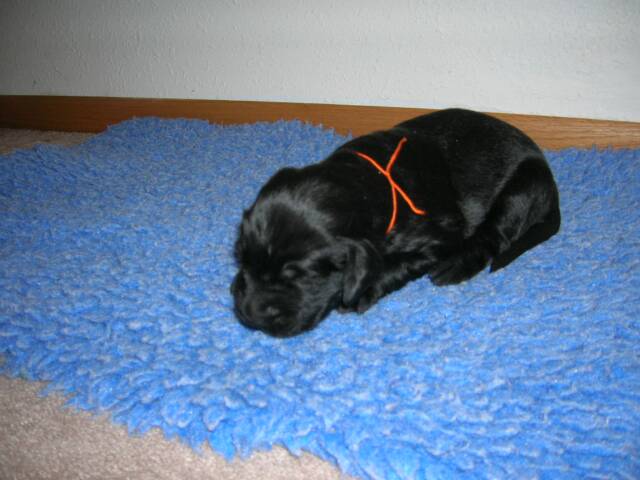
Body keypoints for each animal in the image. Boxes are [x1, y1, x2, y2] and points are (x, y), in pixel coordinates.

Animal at [231, 109, 560, 337]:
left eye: (300, 276)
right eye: (242, 259)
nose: (250, 315)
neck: (365, 180)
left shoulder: (439, 234)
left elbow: (395, 264)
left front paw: (364, 291)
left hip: (520, 188)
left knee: (495, 236)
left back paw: (455, 267)